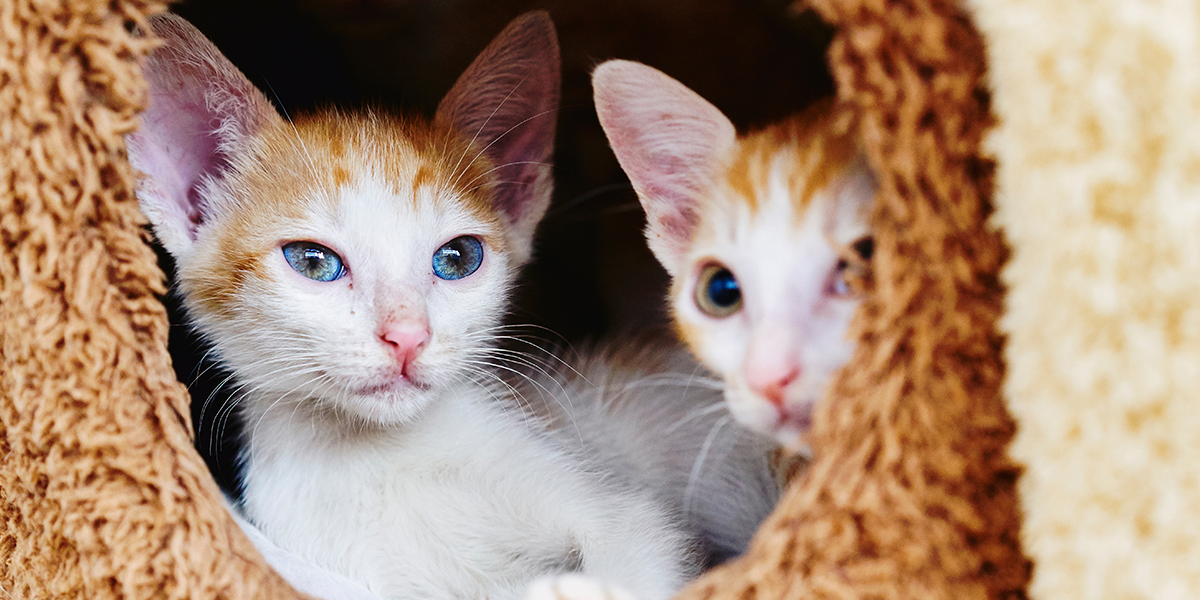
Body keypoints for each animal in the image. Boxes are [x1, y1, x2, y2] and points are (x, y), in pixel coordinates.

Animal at [129, 12, 720, 600]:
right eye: (313, 262)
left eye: (458, 258)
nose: (408, 335)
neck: (377, 455)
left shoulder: (620, 511)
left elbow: (630, 555)